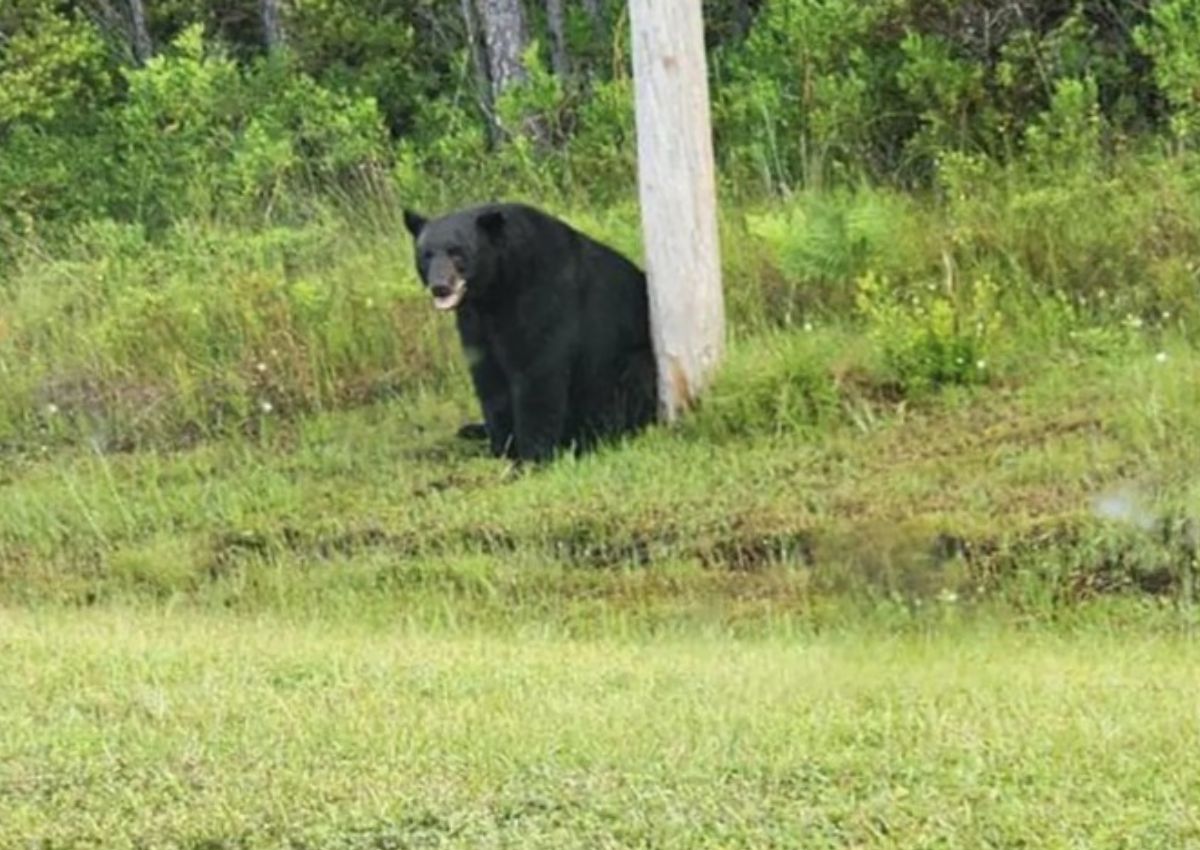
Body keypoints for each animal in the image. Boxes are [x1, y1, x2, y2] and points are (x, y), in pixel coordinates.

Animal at [408, 202, 662, 461]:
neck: (494, 292)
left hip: (632, 361)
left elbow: (537, 372)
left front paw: (533, 456)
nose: (440, 287)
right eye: (426, 255)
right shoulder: (475, 322)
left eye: (457, 252)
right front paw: (503, 449)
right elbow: (489, 377)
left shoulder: (543, 299)